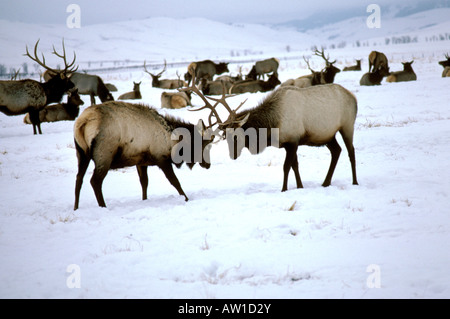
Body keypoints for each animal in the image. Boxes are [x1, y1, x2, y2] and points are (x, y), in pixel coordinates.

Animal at [73, 101, 214, 210]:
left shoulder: (140, 161)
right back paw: (103, 206)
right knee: (95, 181)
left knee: (79, 178)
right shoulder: (161, 158)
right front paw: (186, 198)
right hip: (104, 154)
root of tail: (83, 122)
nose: (208, 165)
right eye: (204, 146)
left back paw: (76, 208)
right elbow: (175, 181)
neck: (172, 140)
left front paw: (145, 200)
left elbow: (144, 182)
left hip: (81, 153)